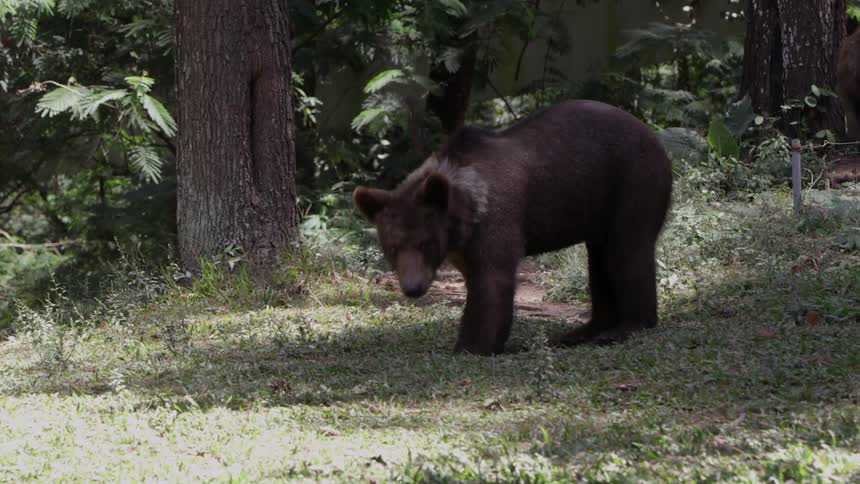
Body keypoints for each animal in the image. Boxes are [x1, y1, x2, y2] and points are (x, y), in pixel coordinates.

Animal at [353, 100, 673, 356]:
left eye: (425, 243)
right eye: (392, 247)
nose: (412, 288)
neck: (464, 216)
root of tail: (652, 135)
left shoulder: (496, 220)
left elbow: (491, 283)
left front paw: (471, 346)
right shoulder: (463, 244)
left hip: (631, 182)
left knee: (627, 250)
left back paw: (628, 326)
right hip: (598, 206)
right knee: (599, 261)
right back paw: (585, 330)